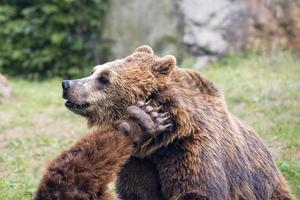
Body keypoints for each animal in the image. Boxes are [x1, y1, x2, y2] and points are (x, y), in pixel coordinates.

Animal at [61, 45, 296, 200]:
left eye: (104, 78)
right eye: (93, 71)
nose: (67, 84)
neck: (162, 141)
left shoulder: (190, 151)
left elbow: (196, 190)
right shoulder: (139, 163)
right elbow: (136, 192)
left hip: (266, 186)